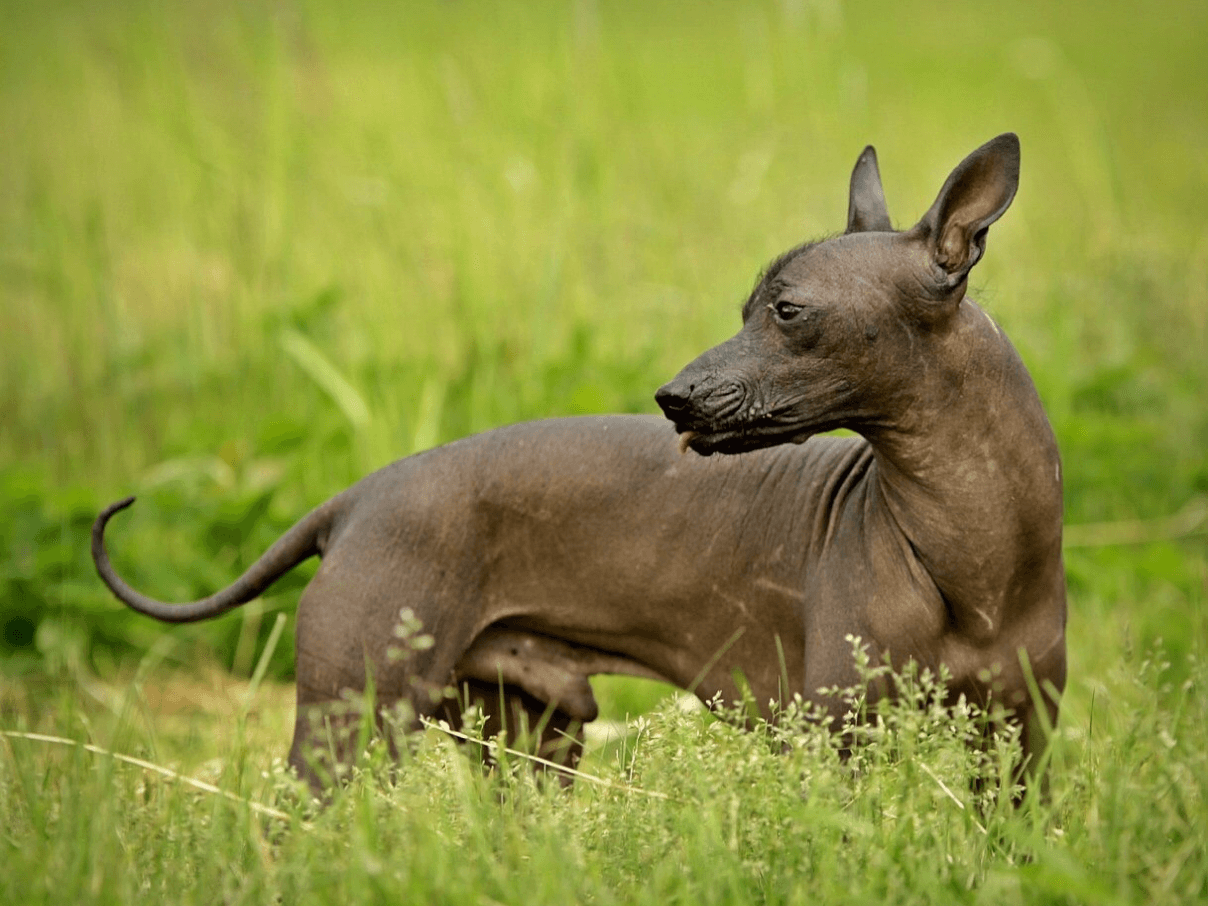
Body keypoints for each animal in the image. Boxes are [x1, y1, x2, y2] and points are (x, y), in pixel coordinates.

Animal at [94, 134, 1067, 792]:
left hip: (527, 738)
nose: (672, 397)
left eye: (786, 311)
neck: (966, 549)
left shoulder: (1023, 743)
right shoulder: (835, 744)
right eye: (747, 307)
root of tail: (358, 495)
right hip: (356, 721)